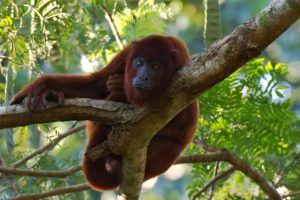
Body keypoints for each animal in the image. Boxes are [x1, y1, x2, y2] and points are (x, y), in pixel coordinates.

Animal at [10, 34, 199, 191]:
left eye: (156, 67)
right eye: (139, 63)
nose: (143, 77)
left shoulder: (181, 67)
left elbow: (181, 123)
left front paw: (120, 89)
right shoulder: (127, 54)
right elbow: (94, 85)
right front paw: (43, 86)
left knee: (173, 144)